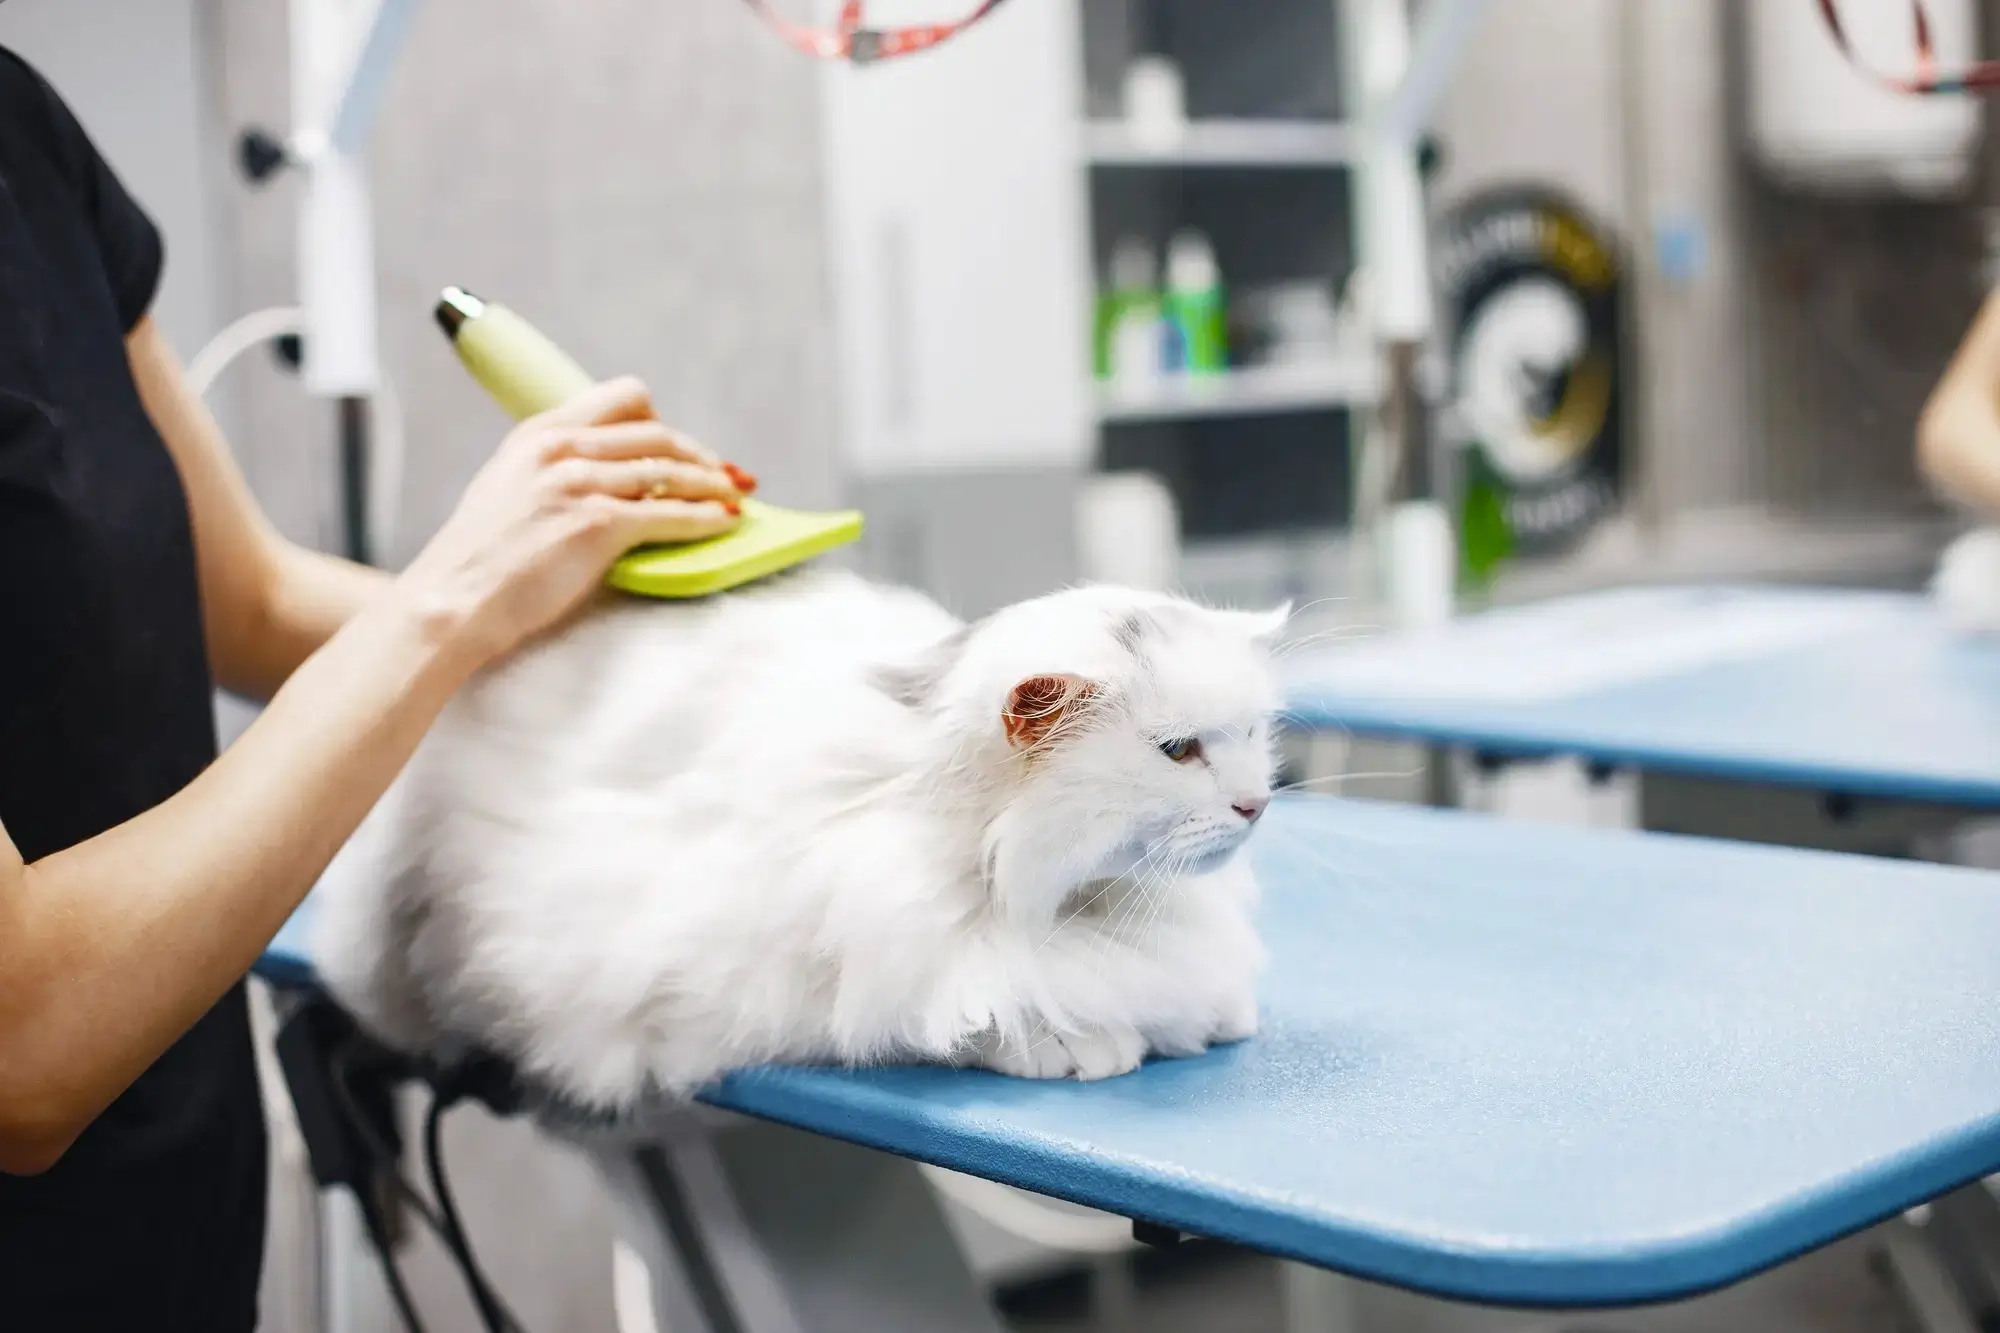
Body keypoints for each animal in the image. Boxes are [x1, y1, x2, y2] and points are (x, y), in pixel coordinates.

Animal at [312, 564, 1280, 1104]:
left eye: (1251, 734)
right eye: (1178, 750)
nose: (1256, 804)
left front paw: (1203, 1020)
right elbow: (966, 1005)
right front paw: (1076, 1042)